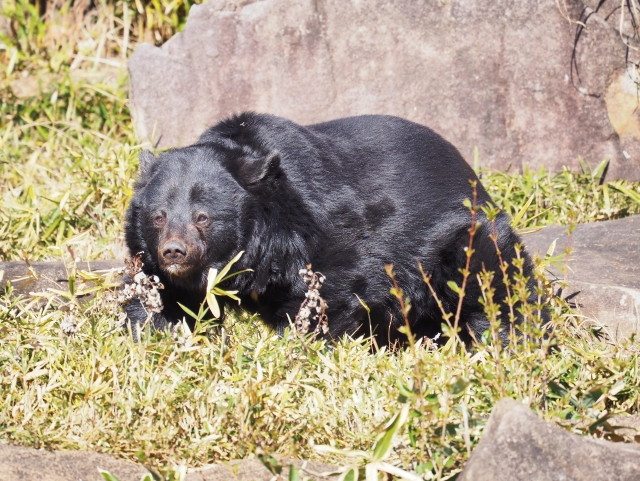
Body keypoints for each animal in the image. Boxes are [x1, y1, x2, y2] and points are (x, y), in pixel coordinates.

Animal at [125, 112, 544, 344]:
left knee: (499, 289)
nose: (174, 251)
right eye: (159, 216)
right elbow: (155, 294)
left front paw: (300, 344)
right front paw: (152, 333)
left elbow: (329, 292)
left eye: (203, 217)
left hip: (464, 240)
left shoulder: (322, 235)